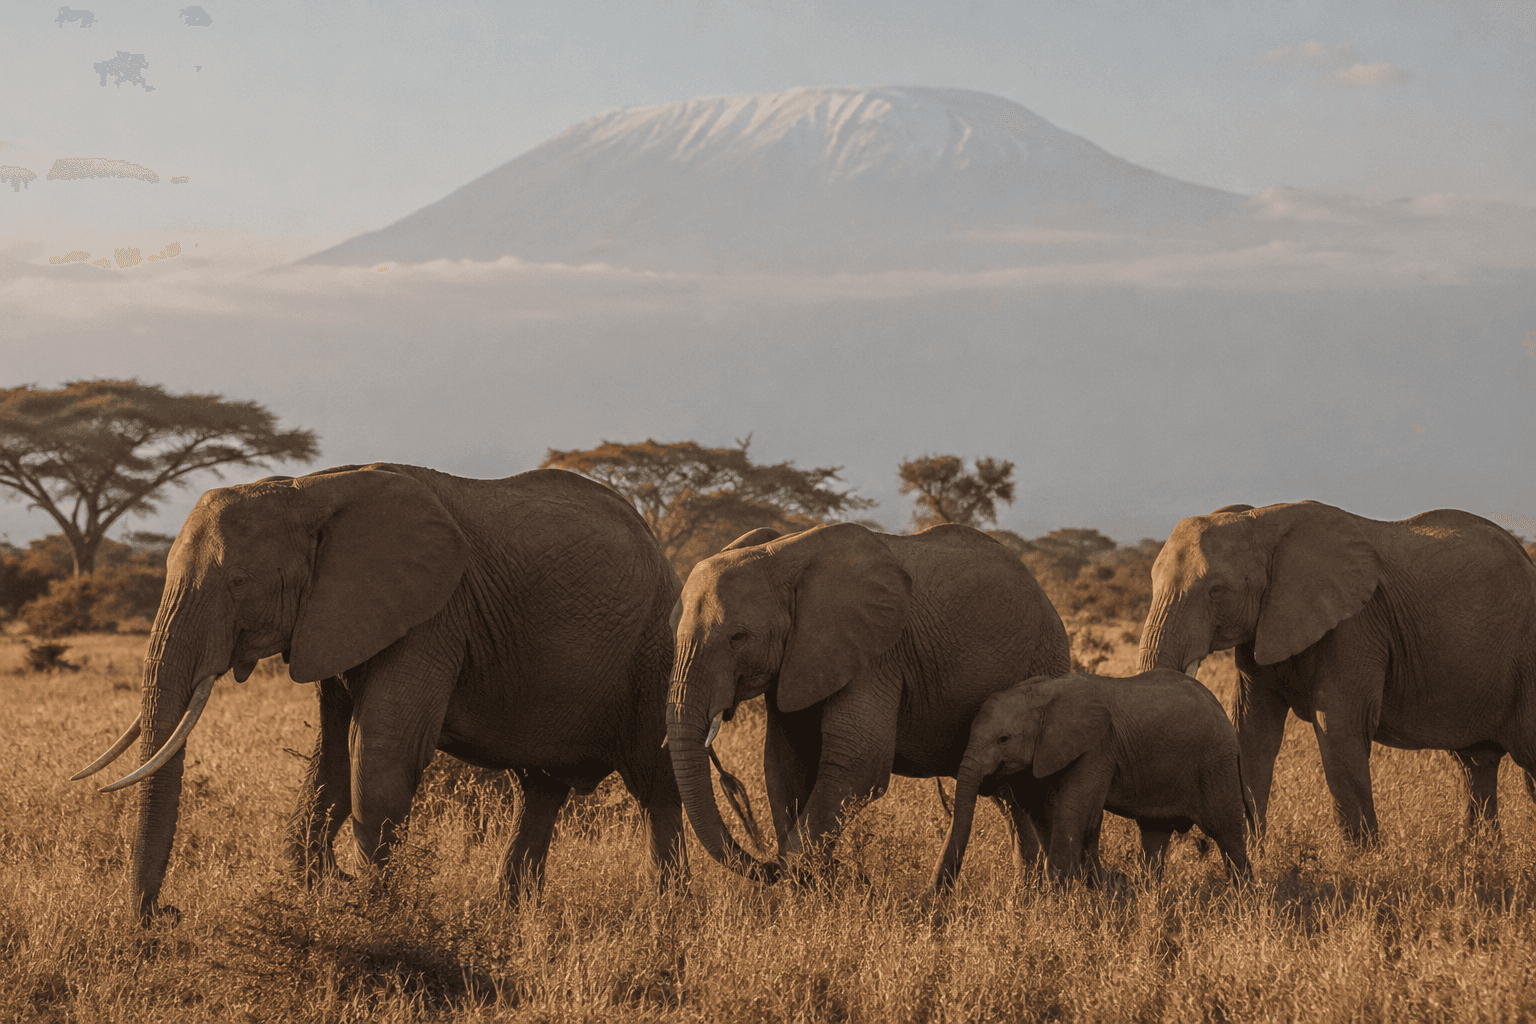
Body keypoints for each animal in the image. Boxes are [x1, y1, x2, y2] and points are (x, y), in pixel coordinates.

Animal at [72, 464, 686, 921]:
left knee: (657, 788)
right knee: (540, 790)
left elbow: (380, 762)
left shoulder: (434, 618)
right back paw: (510, 916)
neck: (307, 492)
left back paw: (671, 917)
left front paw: (377, 915)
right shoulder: (333, 620)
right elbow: (330, 766)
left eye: (239, 583)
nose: (165, 915)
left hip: (656, 650)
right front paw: (326, 893)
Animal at [666, 521, 1071, 883]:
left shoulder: (875, 655)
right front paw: (813, 886)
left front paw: (804, 879)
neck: (782, 555)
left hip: (1044, 658)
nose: (765, 863)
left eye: (738, 638)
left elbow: (858, 763)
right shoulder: (797, 662)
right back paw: (1028, 894)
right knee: (1009, 795)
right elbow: (784, 762)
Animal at [932, 671, 1253, 891]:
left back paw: (1243, 902)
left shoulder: (1096, 748)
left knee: (1227, 834)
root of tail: (1225, 715)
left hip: (1216, 764)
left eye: (1003, 739)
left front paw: (1055, 905)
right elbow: (1043, 812)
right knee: (1155, 835)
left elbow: (1073, 810)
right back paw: (1146, 898)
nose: (937, 894)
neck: (1043, 692)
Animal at [1136, 500, 1536, 843]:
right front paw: (1256, 854)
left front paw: (1363, 862)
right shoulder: (1264, 627)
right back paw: (1482, 855)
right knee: (1477, 764)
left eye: (1217, 591)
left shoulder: (1356, 624)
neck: (1261, 520)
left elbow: (1339, 726)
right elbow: (1253, 732)